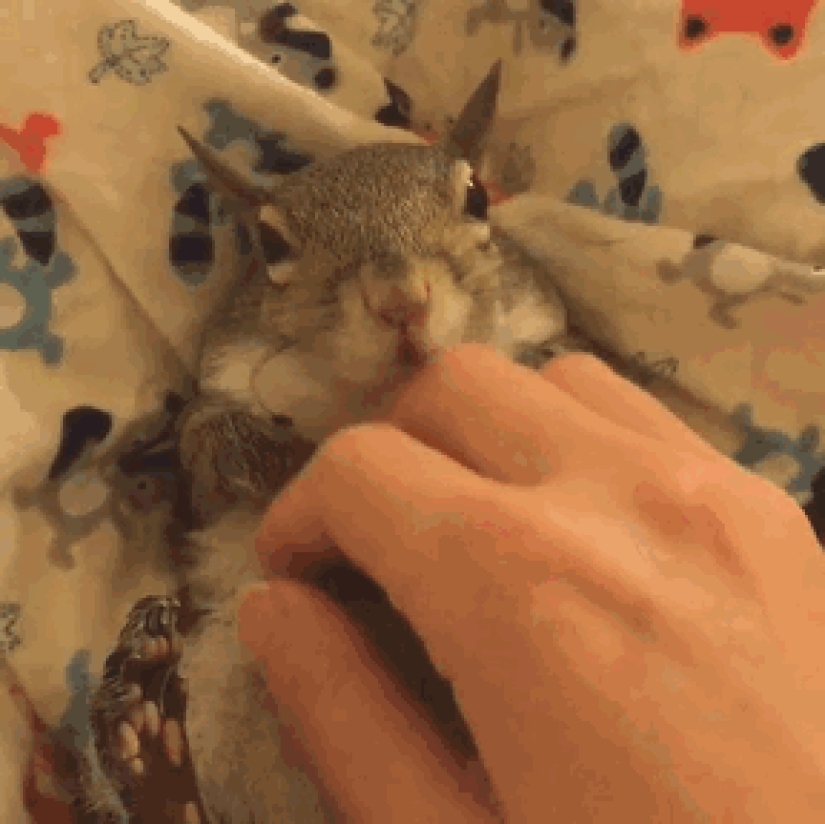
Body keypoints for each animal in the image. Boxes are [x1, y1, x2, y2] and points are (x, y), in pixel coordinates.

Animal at [76, 61, 568, 824]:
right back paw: (144, 750)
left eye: (478, 195)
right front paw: (291, 460)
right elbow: (209, 448)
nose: (400, 300)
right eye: (271, 246)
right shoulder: (213, 411)